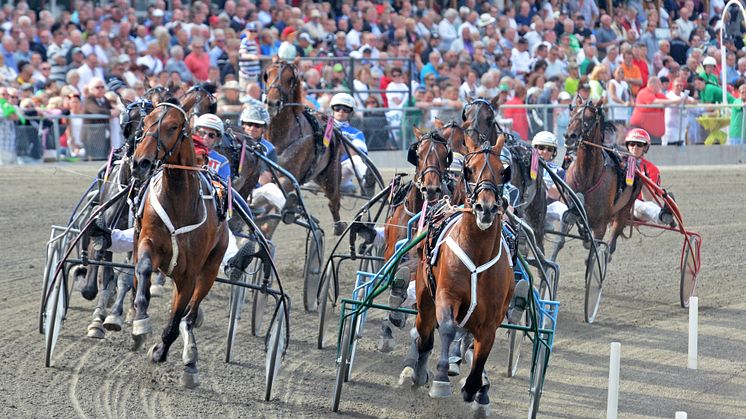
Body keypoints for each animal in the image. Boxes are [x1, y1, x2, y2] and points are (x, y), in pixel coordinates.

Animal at [131, 100, 228, 388]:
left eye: (173, 126)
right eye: (146, 121)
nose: (140, 163)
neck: (178, 200)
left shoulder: (190, 273)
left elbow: (176, 320)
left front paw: (161, 351)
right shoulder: (148, 241)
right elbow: (143, 270)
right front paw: (141, 321)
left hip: (209, 270)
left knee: (190, 315)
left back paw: (190, 357)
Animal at [264, 60, 344, 235]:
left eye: (290, 79)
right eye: (266, 75)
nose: (273, 102)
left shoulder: (287, 177)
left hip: (330, 176)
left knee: (334, 202)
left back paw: (339, 227)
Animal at [398, 135, 516, 416]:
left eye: (503, 171)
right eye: (469, 169)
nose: (485, 208)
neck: (478, 254)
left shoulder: (492, 316)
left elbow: (482, 350)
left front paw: (474, 388)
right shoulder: (446, 295)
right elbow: (448, 328)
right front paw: (440, 379)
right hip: (425, 298)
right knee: (425, 335)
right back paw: (418, 371)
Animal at [564, 97, 640, 260]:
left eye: (590, 117)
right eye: (572, 112)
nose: (569, 136)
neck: (586, 178)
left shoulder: (600, 225)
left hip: (625, 209)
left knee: (613, 237)